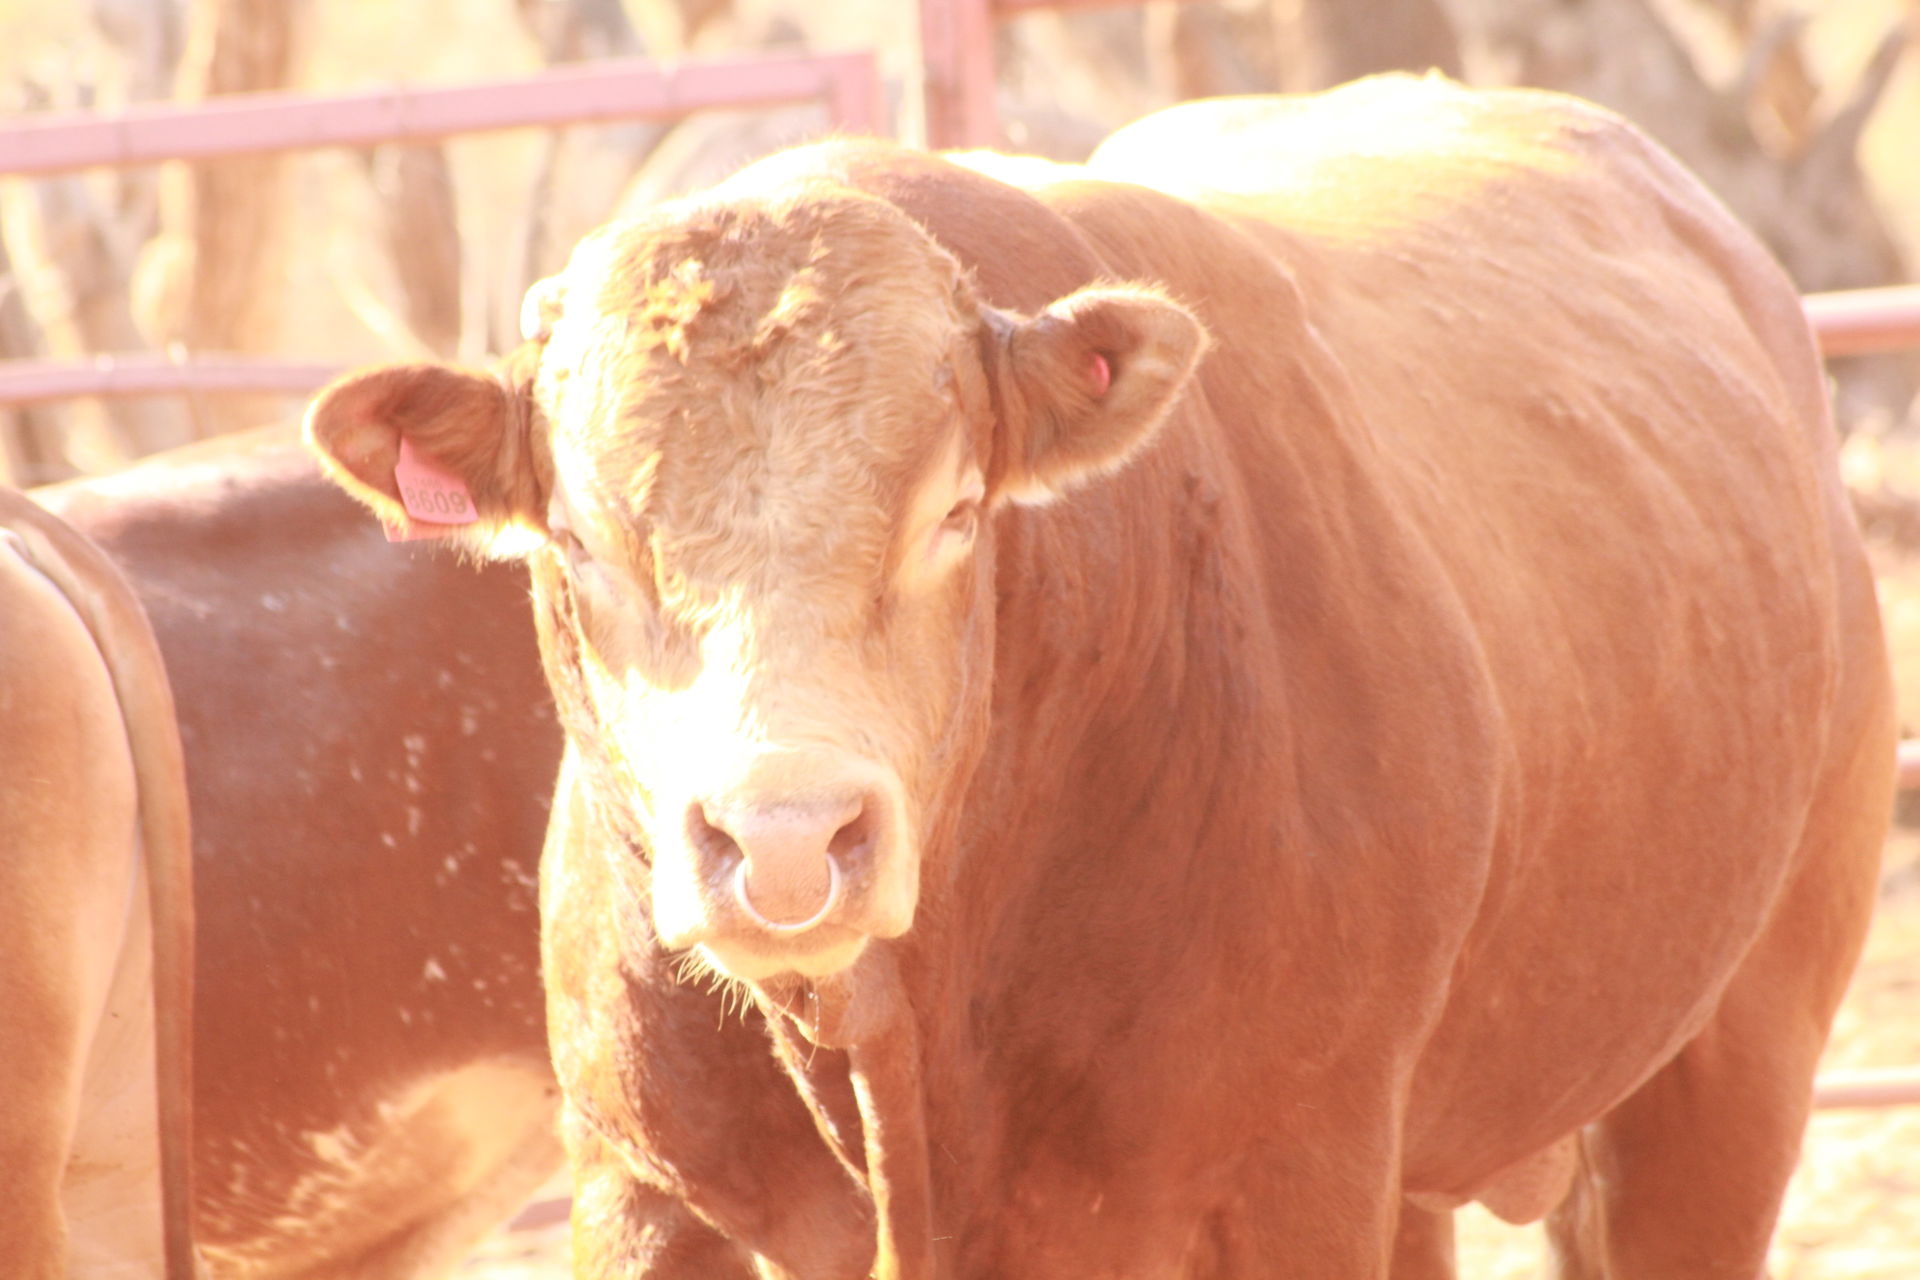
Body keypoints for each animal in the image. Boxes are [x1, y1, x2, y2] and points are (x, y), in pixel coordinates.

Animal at [305, 75, 1897, 1279]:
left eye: (957, 510)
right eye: (576, 537)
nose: (786, 837)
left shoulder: (1290, 1178)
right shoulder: (640, 1188)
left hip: (1729, 1068)